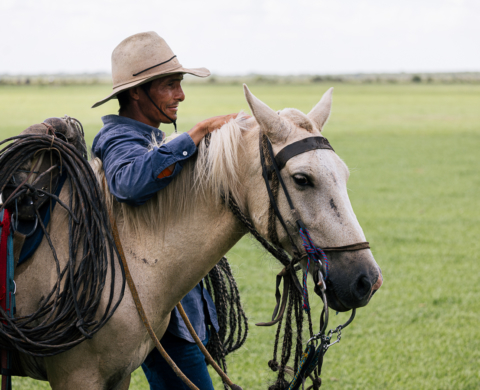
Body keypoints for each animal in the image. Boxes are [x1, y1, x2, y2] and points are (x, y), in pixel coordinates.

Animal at [12, 85, 382, 386]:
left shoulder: (119, 375)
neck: (125, 257)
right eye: (302, 179)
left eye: (344, 175)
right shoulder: (78, 376)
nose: (367, 280)